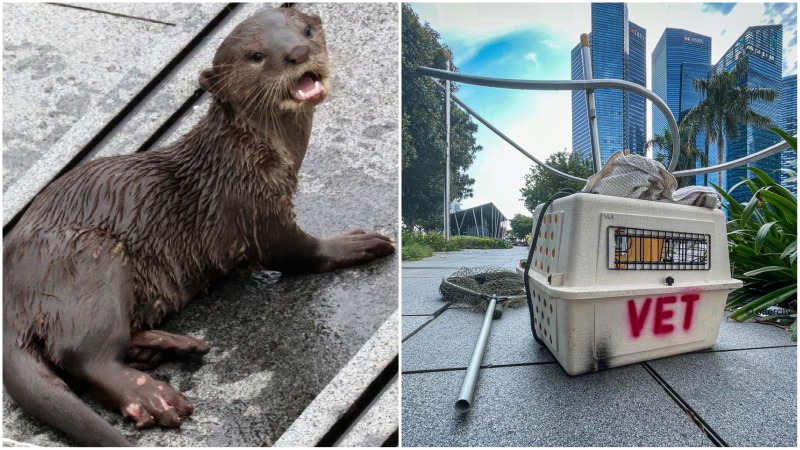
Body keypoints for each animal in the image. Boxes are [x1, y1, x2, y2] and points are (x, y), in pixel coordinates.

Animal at [1, 6, 396, 446]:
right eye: (257, 56)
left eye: (307, 31)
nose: (297, 52)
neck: (248, 153)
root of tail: (13, 301)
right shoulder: (254, 208)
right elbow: (298, 252)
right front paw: (359, 242)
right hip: (89, 259)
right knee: (86, 356)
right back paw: (153, 396)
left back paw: (172, 346)